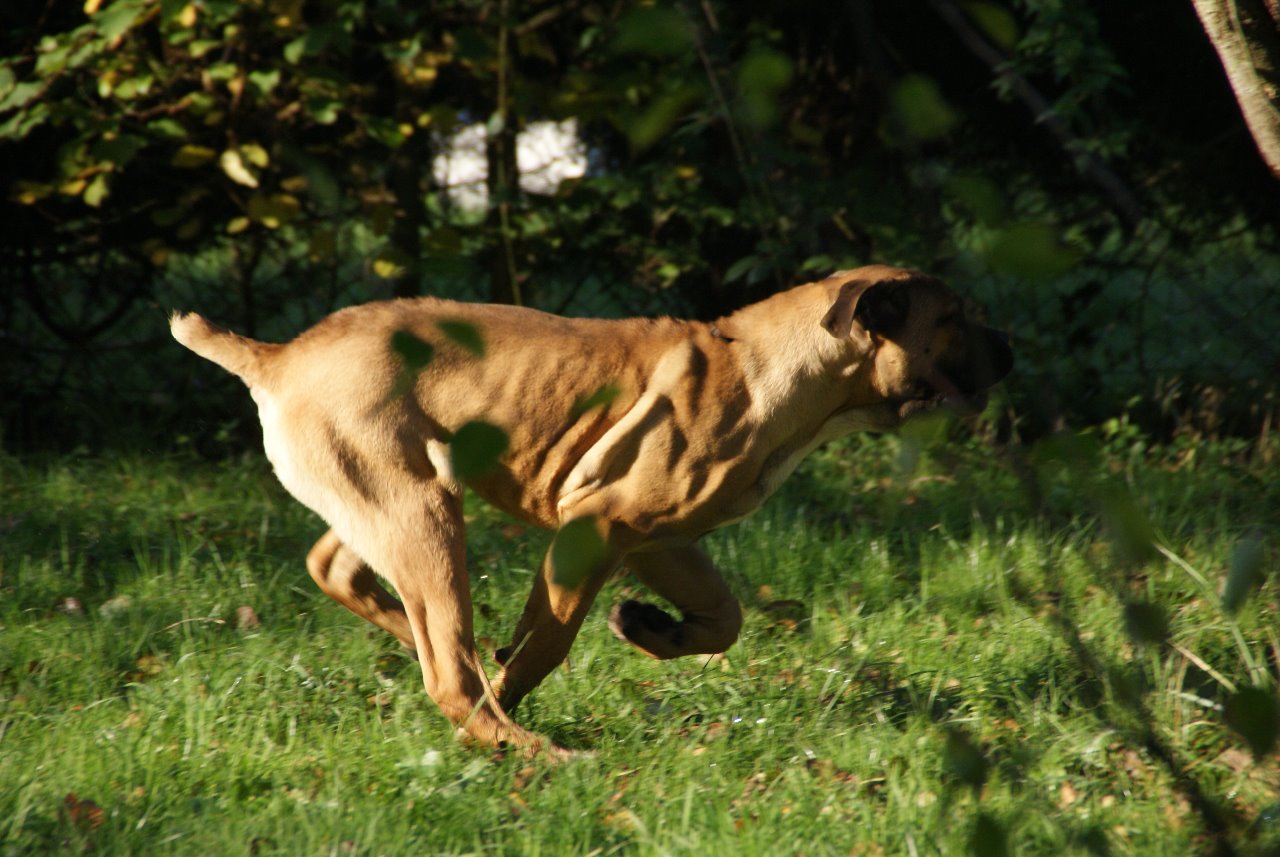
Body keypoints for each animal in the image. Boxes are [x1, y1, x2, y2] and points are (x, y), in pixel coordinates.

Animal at [171, 264, 1012, 755]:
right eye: (954, 320)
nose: (1009, 355)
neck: (767, 370)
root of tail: (277, 357)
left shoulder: (661, 540)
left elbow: (725, 617)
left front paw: (651, 628)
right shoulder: (596, 525)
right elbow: (547, 641)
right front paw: (519, 684)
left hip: (400, 494)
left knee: (346, 574)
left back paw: (418, 641)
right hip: (422, 514)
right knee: (449, 670)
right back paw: (528, 747)